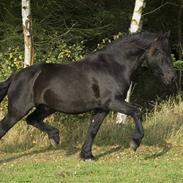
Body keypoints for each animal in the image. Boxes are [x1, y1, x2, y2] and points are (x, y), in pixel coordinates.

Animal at [0, 31, 176, 160]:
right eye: (159, 51)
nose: (171, 77)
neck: (114, 66)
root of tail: (15, 76)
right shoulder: (113, 102)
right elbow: (137, 112)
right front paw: (135, 142)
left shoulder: (102, 108)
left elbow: (93, 129)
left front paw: (87, 155)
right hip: (17, 110)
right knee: (5, 127)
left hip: (46, 107)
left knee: (32, 119)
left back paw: (55, 137)